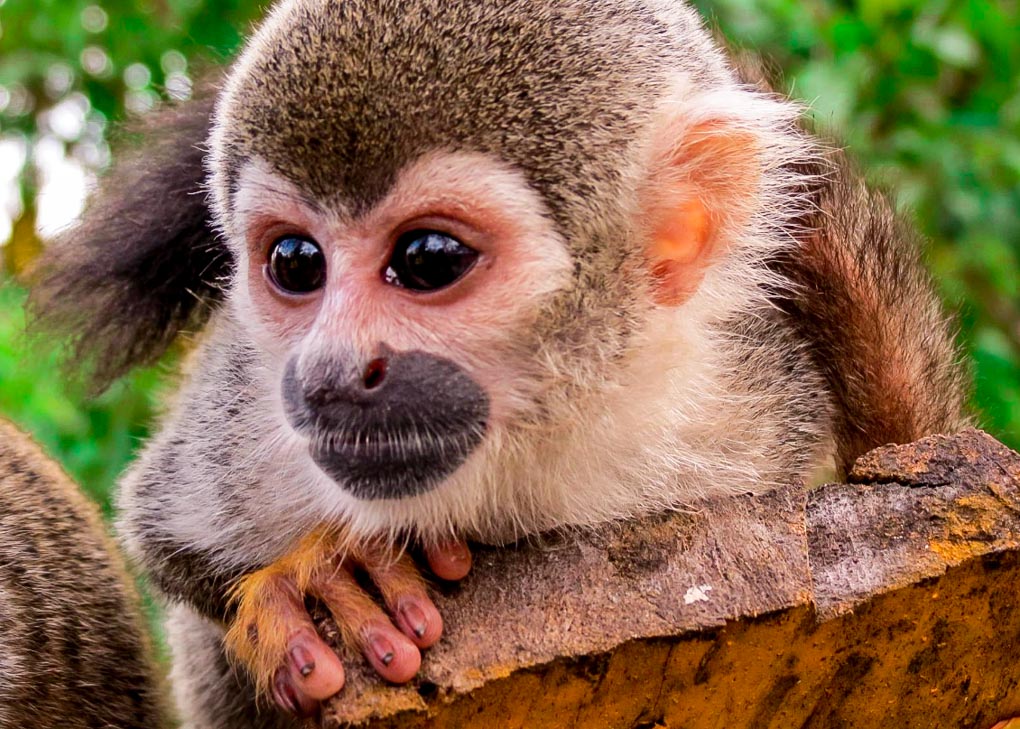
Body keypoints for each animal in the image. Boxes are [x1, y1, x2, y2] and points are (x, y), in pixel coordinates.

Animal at [31, 1, 966, 725]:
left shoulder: (742, 421)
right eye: (295, 262)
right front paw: (330, 585)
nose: (331, 373)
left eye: (429, 259)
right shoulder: (247, 421)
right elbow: (160, 534)